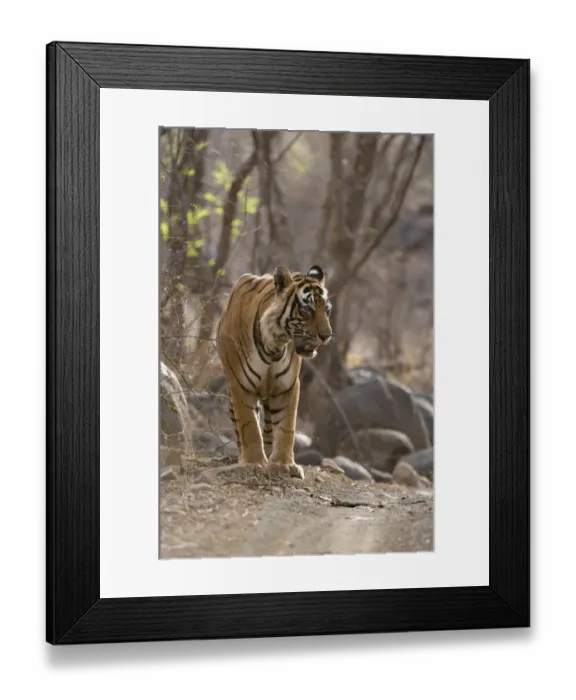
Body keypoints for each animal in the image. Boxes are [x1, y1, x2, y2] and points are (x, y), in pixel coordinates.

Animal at [216, 264, 333, 479]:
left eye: (327, 309)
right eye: (307, 308)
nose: (326, 336)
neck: (275, 345)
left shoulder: (287, 387)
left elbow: (286, 428)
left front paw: (283, 464)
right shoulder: (241, 385)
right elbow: (249, 426)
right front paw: (253, 462)